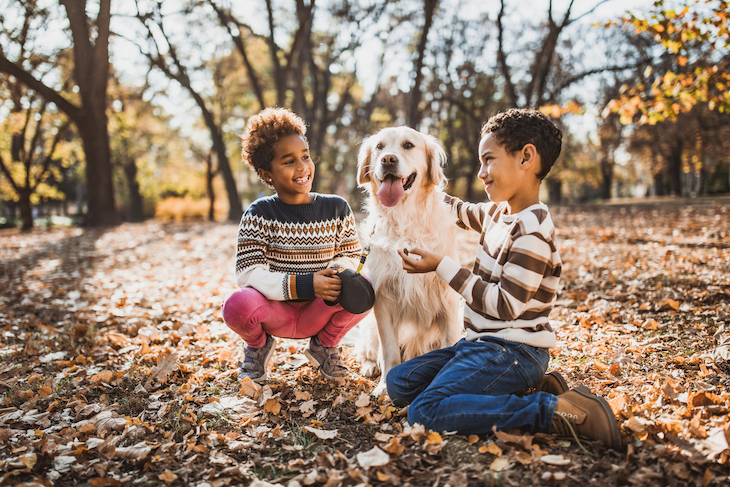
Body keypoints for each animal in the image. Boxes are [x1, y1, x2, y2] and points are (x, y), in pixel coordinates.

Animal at [352, 125, 460, 396]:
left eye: (409, 145)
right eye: (379, 147)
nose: (388, 159)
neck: (404, 220)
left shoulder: (448, 300)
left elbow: (451, 343)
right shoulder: (382, 299)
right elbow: (389, 351)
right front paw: (385, 387)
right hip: (369, 327)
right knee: (367, 352)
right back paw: (370, 367)